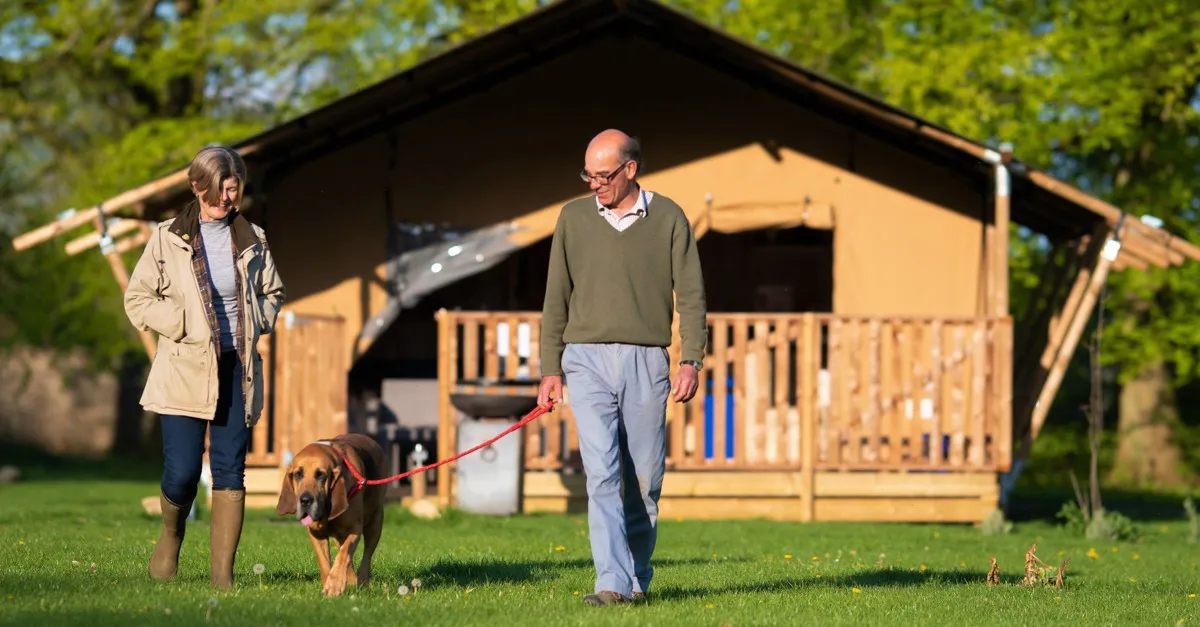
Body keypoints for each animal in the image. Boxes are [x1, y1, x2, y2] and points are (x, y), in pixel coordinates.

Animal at [274, 432, 384, 593]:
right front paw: (330, 582)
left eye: (320, 475)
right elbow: (325, 562)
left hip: (375, 523)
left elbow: (343, 555)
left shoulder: (354, 529)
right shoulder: (316, 534)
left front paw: (334, 584)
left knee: (366, 556)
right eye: (298, 474)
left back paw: (362, 582)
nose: (305, 500)